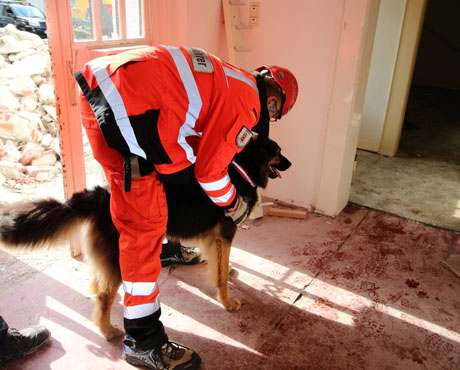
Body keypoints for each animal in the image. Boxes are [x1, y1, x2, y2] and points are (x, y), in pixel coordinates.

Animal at [0, 137, 292, 342]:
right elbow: (219, 275)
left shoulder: (214, 238)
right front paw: (228, 300)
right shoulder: (225, 234)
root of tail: (102, 195)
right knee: (105, 295)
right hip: (122, 256)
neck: (242, 169)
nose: (290, 164)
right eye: (277, 152)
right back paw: (107, 330)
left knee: (99, 284)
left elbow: (218, 264)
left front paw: (226, 271)